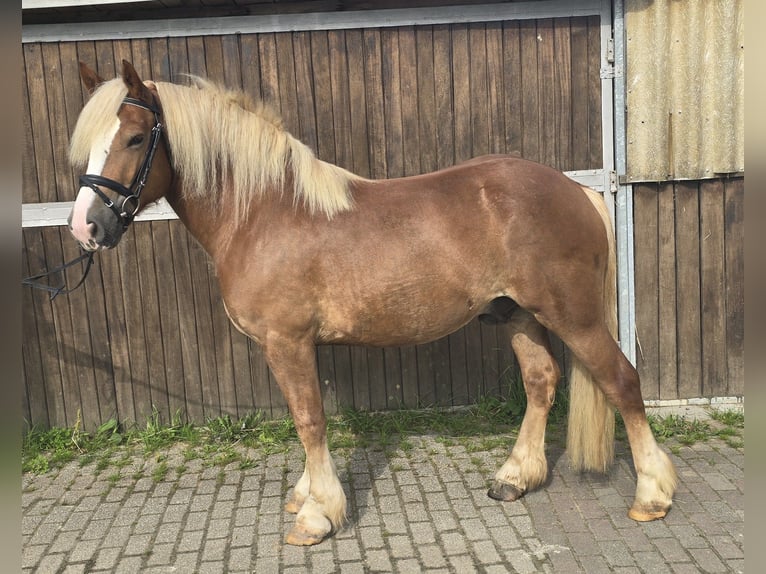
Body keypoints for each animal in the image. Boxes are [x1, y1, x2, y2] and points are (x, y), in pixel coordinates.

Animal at [67, 60, 680, 548]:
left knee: (622, 381)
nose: (85, 227)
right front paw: (307, 494)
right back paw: (514, 478)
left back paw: (652, 495)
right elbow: (306, 419)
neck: (263, 213)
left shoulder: (288, 342)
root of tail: (576, 190)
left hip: (573, 315)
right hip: (520, 315)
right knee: (542, 381)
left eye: (135, 138)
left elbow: (309, 419)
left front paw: (317, 514)